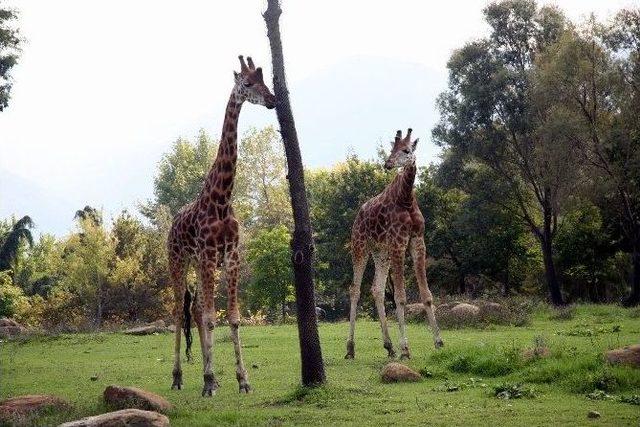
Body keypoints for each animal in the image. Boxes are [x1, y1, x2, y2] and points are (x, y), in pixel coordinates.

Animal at [168, 55, 276, 396]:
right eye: (248, 83)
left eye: (265, 80)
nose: (272, 100)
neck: (222, 198)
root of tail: (171, 225)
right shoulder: (207, 255)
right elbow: (212, 318)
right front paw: (208, 381)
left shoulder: (230, 257)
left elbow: (232, 317)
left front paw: (242, 380)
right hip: (178, 261)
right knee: (178, 310)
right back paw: (178, 377)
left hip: (199, 264)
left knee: (196, 310)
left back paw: (208, 374)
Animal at [344, 128, 444, 362]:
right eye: (392, 149)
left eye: (407, 150)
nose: (388, 163)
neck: (406, 198)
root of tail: (358, 215)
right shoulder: (399, 243)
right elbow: (400, 297)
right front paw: (406, 349)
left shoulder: (417, 242)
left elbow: (427, 295)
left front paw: (438, 342)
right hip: (360, 246)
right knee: (355, 289)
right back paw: (350, 348)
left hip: (381, 252)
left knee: (377, 289)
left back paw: (389, 346)